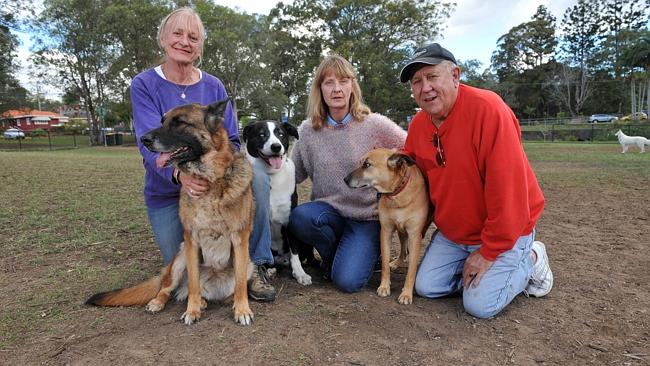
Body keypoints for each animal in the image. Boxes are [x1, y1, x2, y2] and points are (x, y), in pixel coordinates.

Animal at [85, 100, 256, 326]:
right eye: (162, 121)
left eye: (179, 122)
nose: (144, 139)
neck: (210, 180)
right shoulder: (191, 241)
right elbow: (193, 283)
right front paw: (192, 310)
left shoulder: (240, 240)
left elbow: (240, 285)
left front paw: (242, 309)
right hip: (179, 260)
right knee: (169, 289)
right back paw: (166, 302)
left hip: (249, 264)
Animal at [243, 121, 314, 286]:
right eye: (261, 134)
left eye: (281, 134)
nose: (276, 146)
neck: (271, 175)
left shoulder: (289, 221)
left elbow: (294, 252)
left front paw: (300, 273)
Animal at [344, 147, 430, 304]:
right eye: (360, 162)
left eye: (367, 164)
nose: (345, 179)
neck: (397, 193)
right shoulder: (386, 231)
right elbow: (384, 263)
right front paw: (384, 286)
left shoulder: (415, 236)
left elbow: (411, 271)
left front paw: (406, 294)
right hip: (401, 230)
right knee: (403, 248)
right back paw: (396, 263)